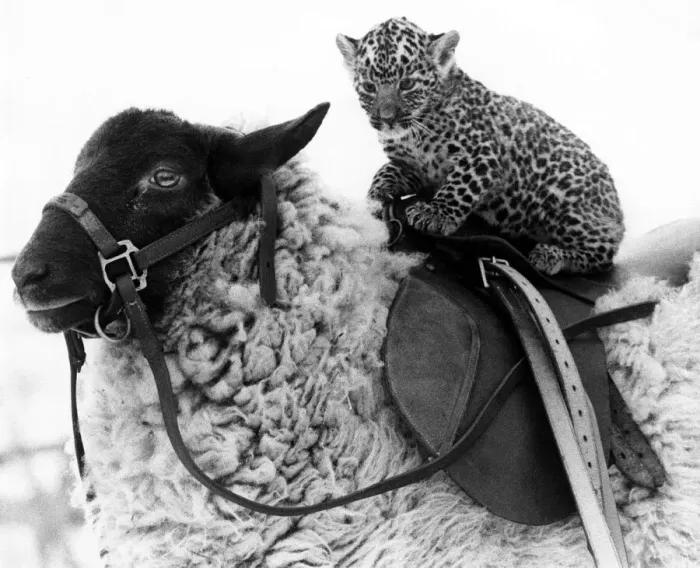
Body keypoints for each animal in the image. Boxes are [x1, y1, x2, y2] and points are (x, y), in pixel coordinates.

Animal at [336, 17, 624, 275]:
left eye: (406, 84)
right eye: (369, 87)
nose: (387, 118)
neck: (414, 133)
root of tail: (617, 210)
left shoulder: (482, 155)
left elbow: (459, 185)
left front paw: (435, 213)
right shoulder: (414, 168)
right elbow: (387, 169)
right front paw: (376, 195)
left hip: (566, 203)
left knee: (604, 254)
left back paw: (552, 255)